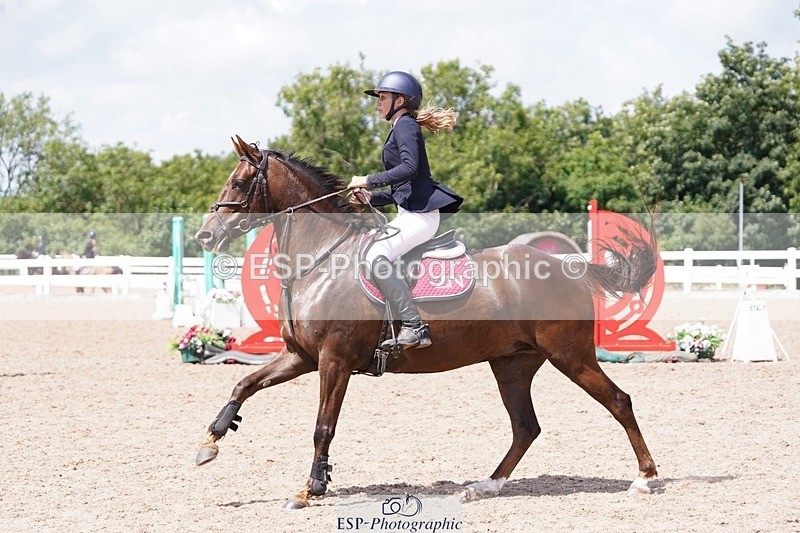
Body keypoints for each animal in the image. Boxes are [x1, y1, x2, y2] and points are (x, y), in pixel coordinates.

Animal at [193, 135, 660, 509]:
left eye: (239, 183)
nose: (205, 236)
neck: (322, 259)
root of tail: (571, 267)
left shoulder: (334, 361)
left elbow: (323, 427)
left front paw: (310, 488)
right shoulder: (301, 357)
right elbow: (243, 385)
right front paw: (210, 441)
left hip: (571, 356)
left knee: (619, 402)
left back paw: (644, 478)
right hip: (513, 364)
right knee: (526, 427)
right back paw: (484, 487)